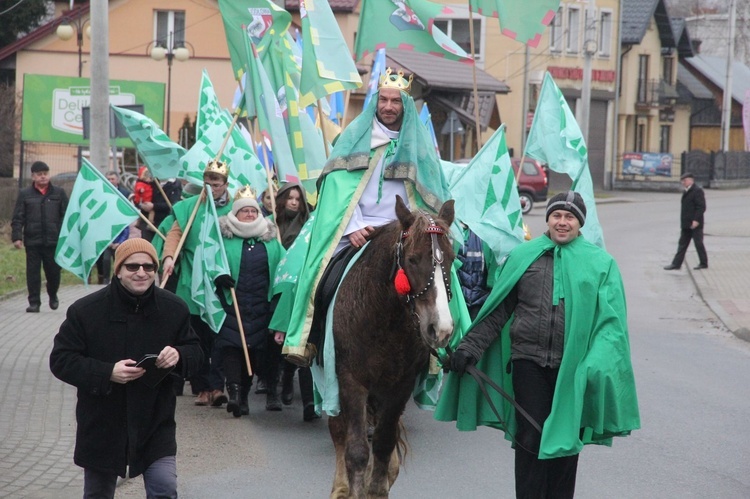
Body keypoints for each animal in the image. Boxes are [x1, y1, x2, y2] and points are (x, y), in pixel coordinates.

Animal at [330, 197, 458, 498]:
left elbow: (384, 443)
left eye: (451, 258)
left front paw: (377, 487)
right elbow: (356, 451)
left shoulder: (400, 385)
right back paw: (340, 487)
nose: (441, 329)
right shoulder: (350, 380)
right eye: (412, 259)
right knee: (339, 431)